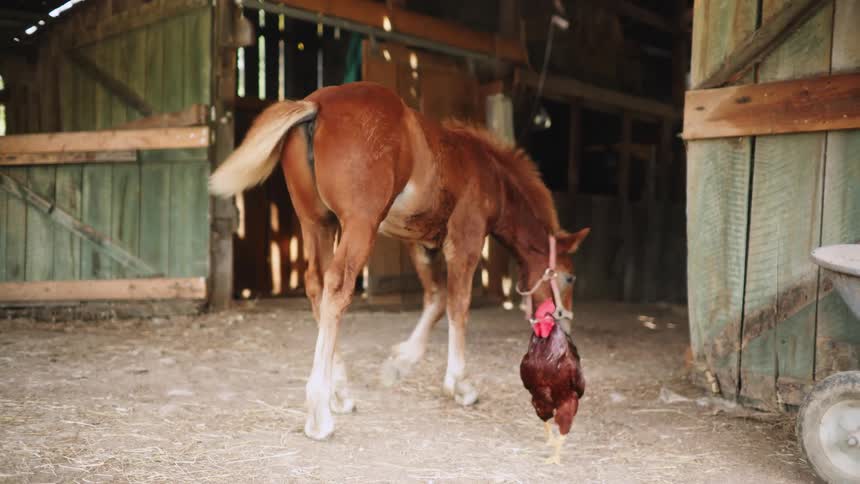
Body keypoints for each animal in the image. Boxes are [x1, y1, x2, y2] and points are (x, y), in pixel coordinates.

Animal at [209, 81, 590, 440]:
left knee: (316, 286)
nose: (567, 326)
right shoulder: (464, 243)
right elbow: (458, 306)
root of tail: (316, 104)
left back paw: (339, 393)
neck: (490, 174)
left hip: (317, 223)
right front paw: (460, 385)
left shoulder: (422, 245)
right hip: (358, 224)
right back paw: (320, 413)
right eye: (569, 278)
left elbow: (436, 299)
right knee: (337, 287)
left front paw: (399, 363)